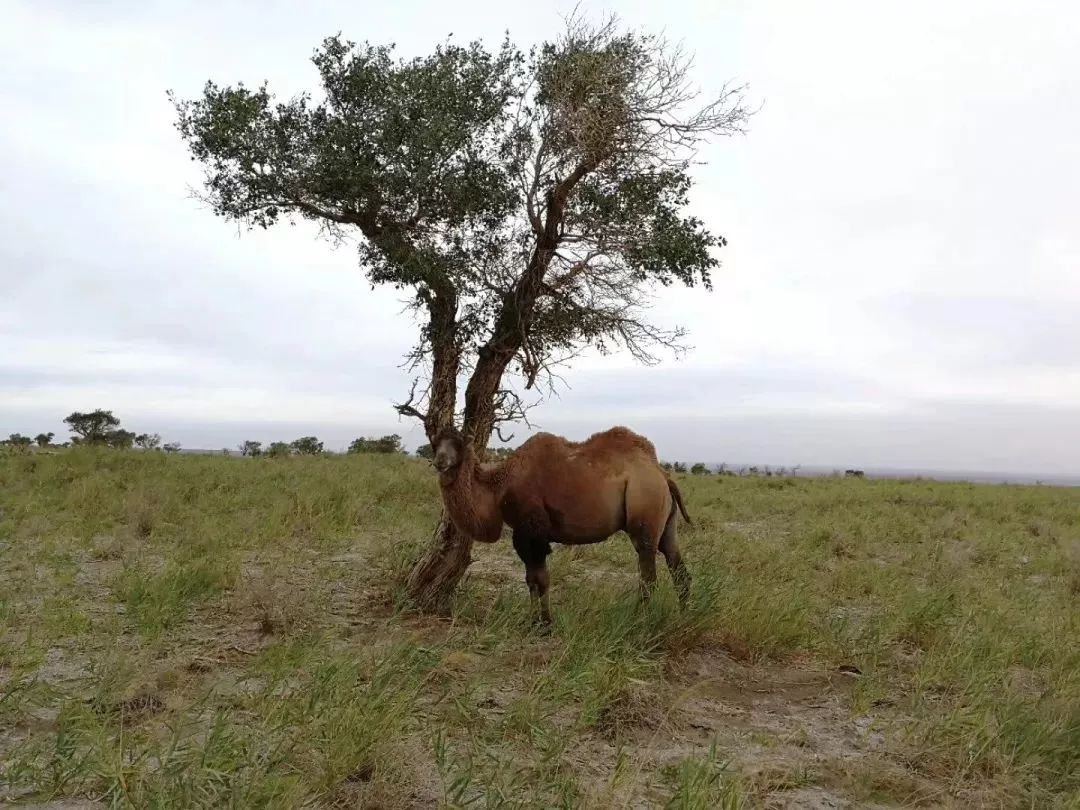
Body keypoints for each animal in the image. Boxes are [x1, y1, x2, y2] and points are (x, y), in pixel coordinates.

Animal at [429, 427, 691, 626]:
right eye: (435, 442)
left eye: (458, 443)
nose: (440, 461)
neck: (499, 489)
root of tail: (663, 475)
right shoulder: (528, 536)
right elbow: (532, 580)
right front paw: (534, 621)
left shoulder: (531, 534)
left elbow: (540, 579)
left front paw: (544, 623)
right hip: (667, 524)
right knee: (678, 569)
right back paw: (683, 616)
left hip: (645, 513)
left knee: (648, 576)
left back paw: (638, 621)